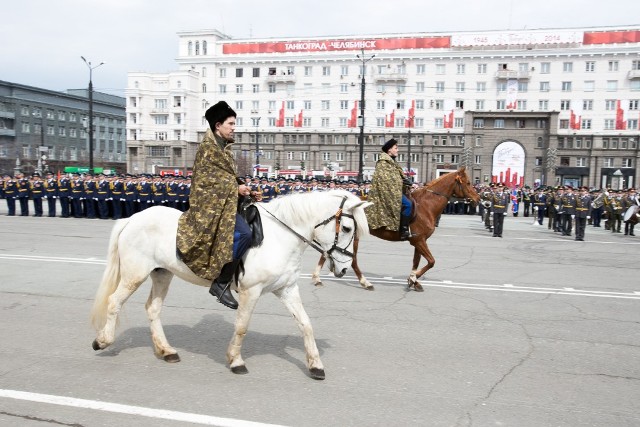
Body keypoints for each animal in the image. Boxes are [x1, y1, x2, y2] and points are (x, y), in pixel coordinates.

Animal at [90, 191, 370, 382]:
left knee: (153, 309)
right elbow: (242, 326)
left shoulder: (287, 289)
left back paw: (166, 350)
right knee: (114, 302)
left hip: (162, 274)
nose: (344, 269)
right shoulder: (250, 291)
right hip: (134, 274)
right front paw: (236, 360)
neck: (280, 237)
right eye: (347, 227)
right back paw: (103, 341)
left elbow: (305, 324)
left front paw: (315, 365)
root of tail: (132, 218)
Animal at [312, 169, 478, 292]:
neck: (426, 205)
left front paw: (414, 281)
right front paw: (412, 279)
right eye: (468, 182)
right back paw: (364, 282)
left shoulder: (418, 241)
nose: (478, 198)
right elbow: (431, 261)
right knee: (351, 260)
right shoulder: (419, 240)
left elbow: (416, 262)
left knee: (330, 252)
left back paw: (318, 277)